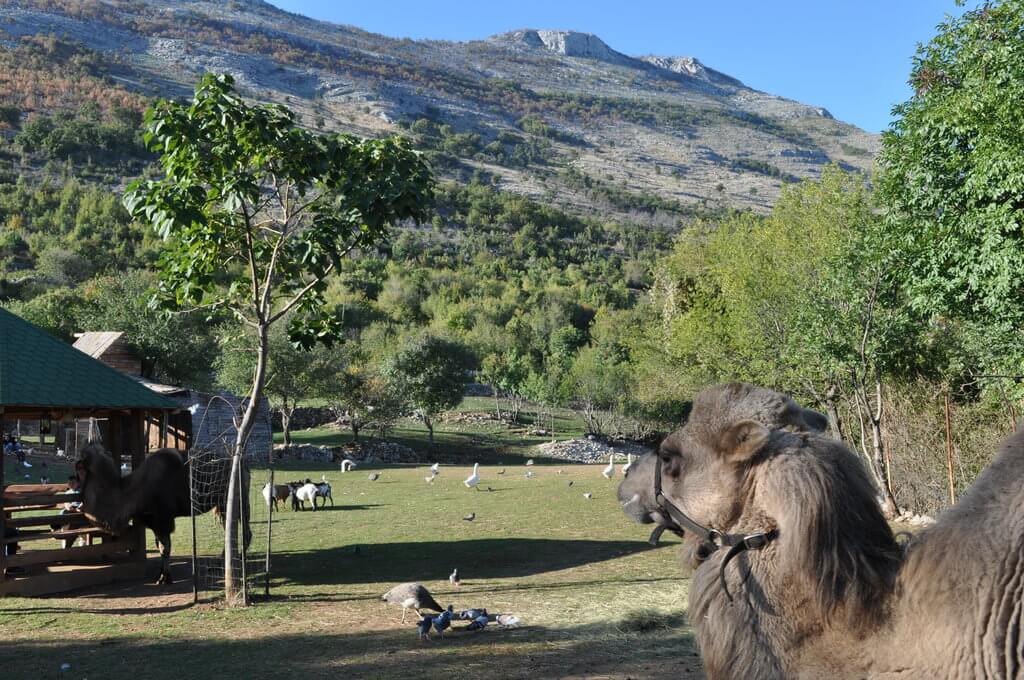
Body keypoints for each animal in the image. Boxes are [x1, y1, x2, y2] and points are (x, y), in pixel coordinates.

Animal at [75, 443, 252, 585]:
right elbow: (159, 546)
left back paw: (238, 561)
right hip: (221, 505)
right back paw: (220, 563)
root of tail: (244, 466)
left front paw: (165, 578)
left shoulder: (164, 520)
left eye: (82, 465)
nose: (74, 475)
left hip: (236, 499)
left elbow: (165, 548)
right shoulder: (154, 523)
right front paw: (160, 574)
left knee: (245, 531)